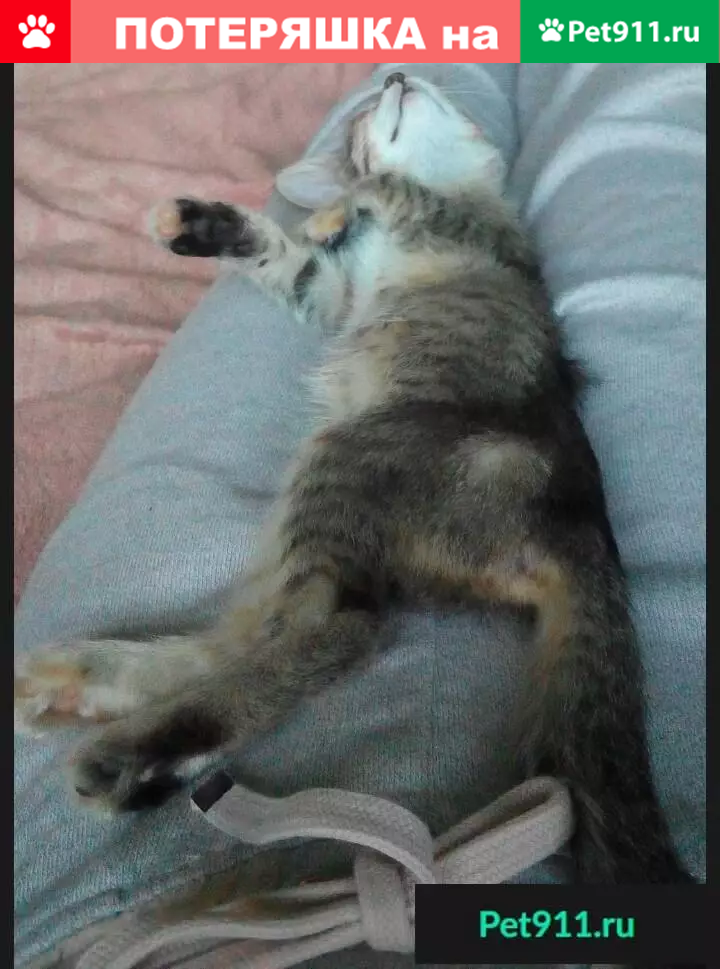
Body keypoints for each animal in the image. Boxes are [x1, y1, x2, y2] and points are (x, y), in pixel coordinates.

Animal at [15, 73, 691, 885]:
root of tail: (581, 518)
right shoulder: (333, 290)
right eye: (366, 116)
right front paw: (224, 225)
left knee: (335, 628)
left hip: (347, 457)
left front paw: (336, 206)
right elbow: (298, 256)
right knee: (268, 634)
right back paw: (90, 690)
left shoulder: (469, 227)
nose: (396, 76)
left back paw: (133, 755)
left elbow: (386, 188)